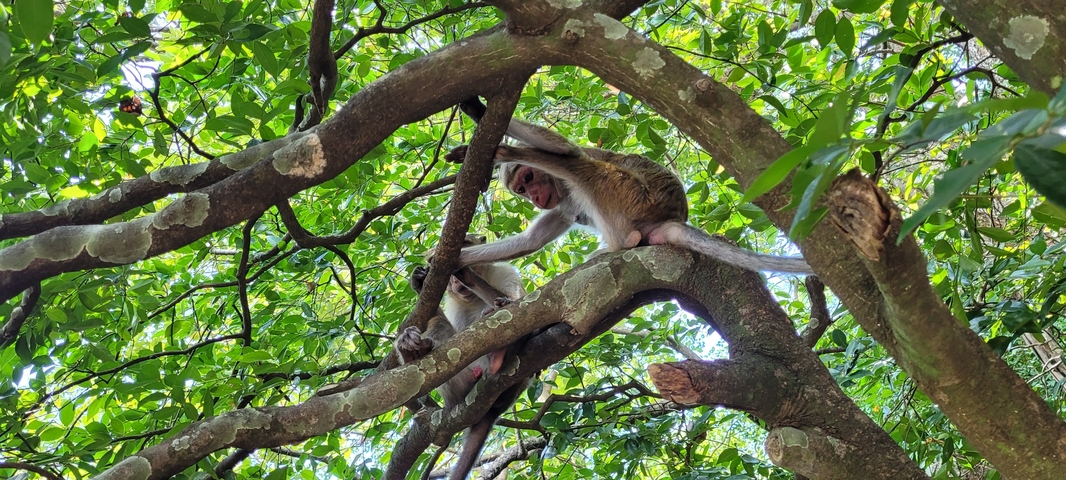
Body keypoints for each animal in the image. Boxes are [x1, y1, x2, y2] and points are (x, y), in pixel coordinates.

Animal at [395, 234, 529, 480]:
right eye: (448, 280)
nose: (456, 283)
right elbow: (443, 322)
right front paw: (419, 283)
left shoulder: (506, 274)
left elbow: (520, 301)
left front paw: (468, 276)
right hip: (458, 387)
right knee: (441, 330)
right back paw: (413, 352)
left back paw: (501, 351)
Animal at [444, 97, 814, 275]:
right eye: (521, 190)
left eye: (529, 179)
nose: (534, 197)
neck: (562, 193)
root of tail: (672, 217)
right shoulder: (562, 207)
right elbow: (529, 242)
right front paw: (446, 261)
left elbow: (566, 151)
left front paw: (483, 117)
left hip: (631, 196)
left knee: (578, 165)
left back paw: (622, 243)